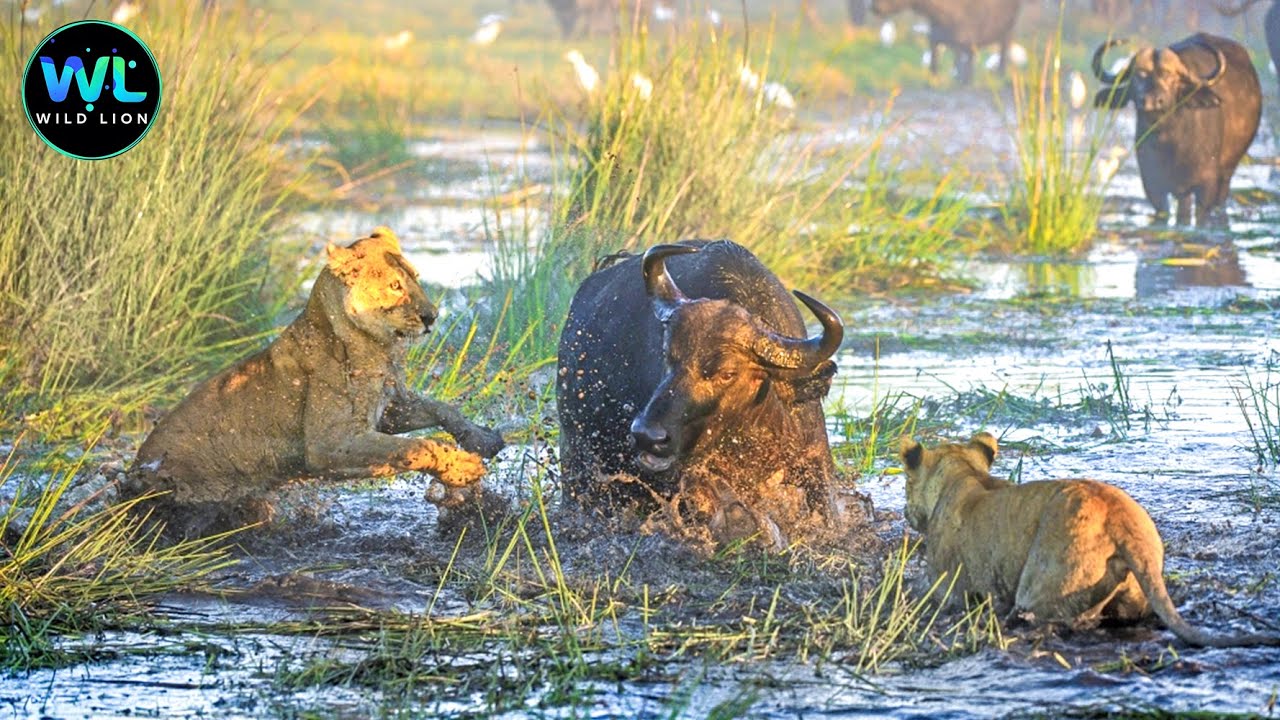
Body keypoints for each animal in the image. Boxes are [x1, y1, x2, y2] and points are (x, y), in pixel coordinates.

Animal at [871, 0, 1022, 84]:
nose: (875, 7)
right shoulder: (934, 38)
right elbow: (934, 66)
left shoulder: (966, 41)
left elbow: (962, 65)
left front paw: (963, 82)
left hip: (1008, 31)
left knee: (1003, 53)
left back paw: (999, 76)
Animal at [1093, 33, 1261, 226]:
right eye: (1138, 76)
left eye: (1170, 76)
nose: (1151, 101)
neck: (1171, 145)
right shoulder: (1152, 183)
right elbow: (1165, 213)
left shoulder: (1207, 184)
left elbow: (1202, 214)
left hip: (1227, 172)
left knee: (1221, 198)